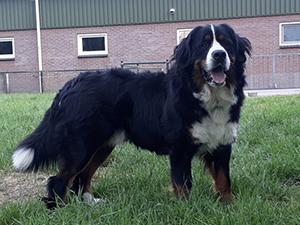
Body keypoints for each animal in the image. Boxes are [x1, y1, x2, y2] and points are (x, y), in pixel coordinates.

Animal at [11, 23, 251, 208]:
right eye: (204, 45)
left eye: (226, 44)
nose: (219, 55)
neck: (206, 96)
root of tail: (71, 84)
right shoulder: (180, 148)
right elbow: (183, 184)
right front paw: (186, 209)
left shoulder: (221, 144)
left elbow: (224, 180)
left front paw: (230, 206)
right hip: (80, 146)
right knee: (59, 180)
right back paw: (60, 210)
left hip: (101, 146)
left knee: (81, 177)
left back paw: (89, 203)